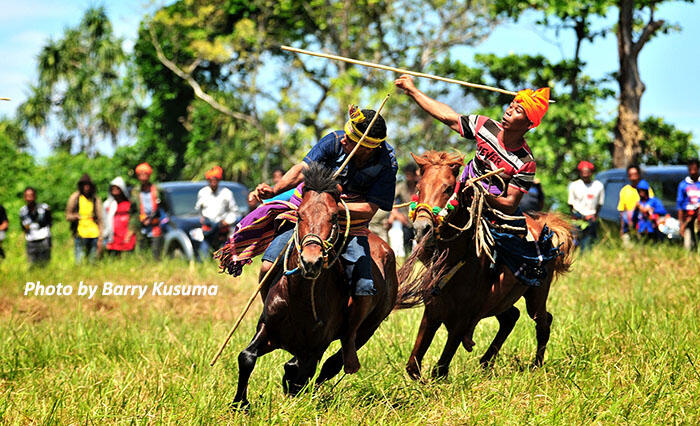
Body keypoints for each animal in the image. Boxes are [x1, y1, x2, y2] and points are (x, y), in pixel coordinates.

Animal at [234, 162, 400, 406]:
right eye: (300, 215)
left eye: (334, 216)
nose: (311, 261)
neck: (300, 298)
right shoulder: (268, 328)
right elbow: (247, 357)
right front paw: (240, 404)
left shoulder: (316, 347)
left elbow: (301, 370)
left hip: (368, 328)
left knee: (332, 364)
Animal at [396, 152, 572, 380]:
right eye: (418, 188)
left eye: (448, 188)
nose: (421, 228)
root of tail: (546, 228)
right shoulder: (433, 310)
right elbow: (413, 366)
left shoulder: (463, 318)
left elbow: (440, 369)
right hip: (501, 301)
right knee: (511, 317)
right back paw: (486, 362)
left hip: (536, 294)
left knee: (543, 321)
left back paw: (536, 366)